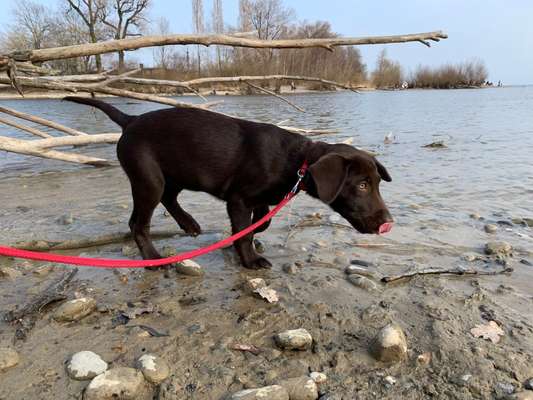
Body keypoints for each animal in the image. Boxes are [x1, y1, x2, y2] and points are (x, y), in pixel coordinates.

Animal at [64, 97, 392, 268]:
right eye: (362, 185)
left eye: (377, 183)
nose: (387, 223)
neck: (297, 161)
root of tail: (130, 120)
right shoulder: (239, 199)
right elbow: (244, 232)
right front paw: (249, 258)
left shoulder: (258, 200)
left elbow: (261, 222)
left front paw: (250, 233)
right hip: (148, 180)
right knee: (138, 223)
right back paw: (154, 258)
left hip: (176, 172)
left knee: (170, 198)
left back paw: (189, 224)